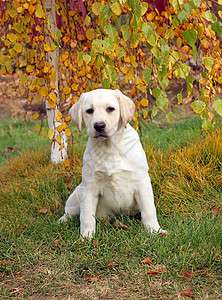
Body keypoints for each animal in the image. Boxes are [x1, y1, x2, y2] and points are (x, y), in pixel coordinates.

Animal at [58, 88, 166, 238]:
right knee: (70, 211)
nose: (99, 125)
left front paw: (155, 231)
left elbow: (149, 209)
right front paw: (86, 236)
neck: (109, 147)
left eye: (110, 109)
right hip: (78, 193)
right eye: (89, 111)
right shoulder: (89, 187)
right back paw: (62, 220)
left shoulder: (142, 182)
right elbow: (86, 215)